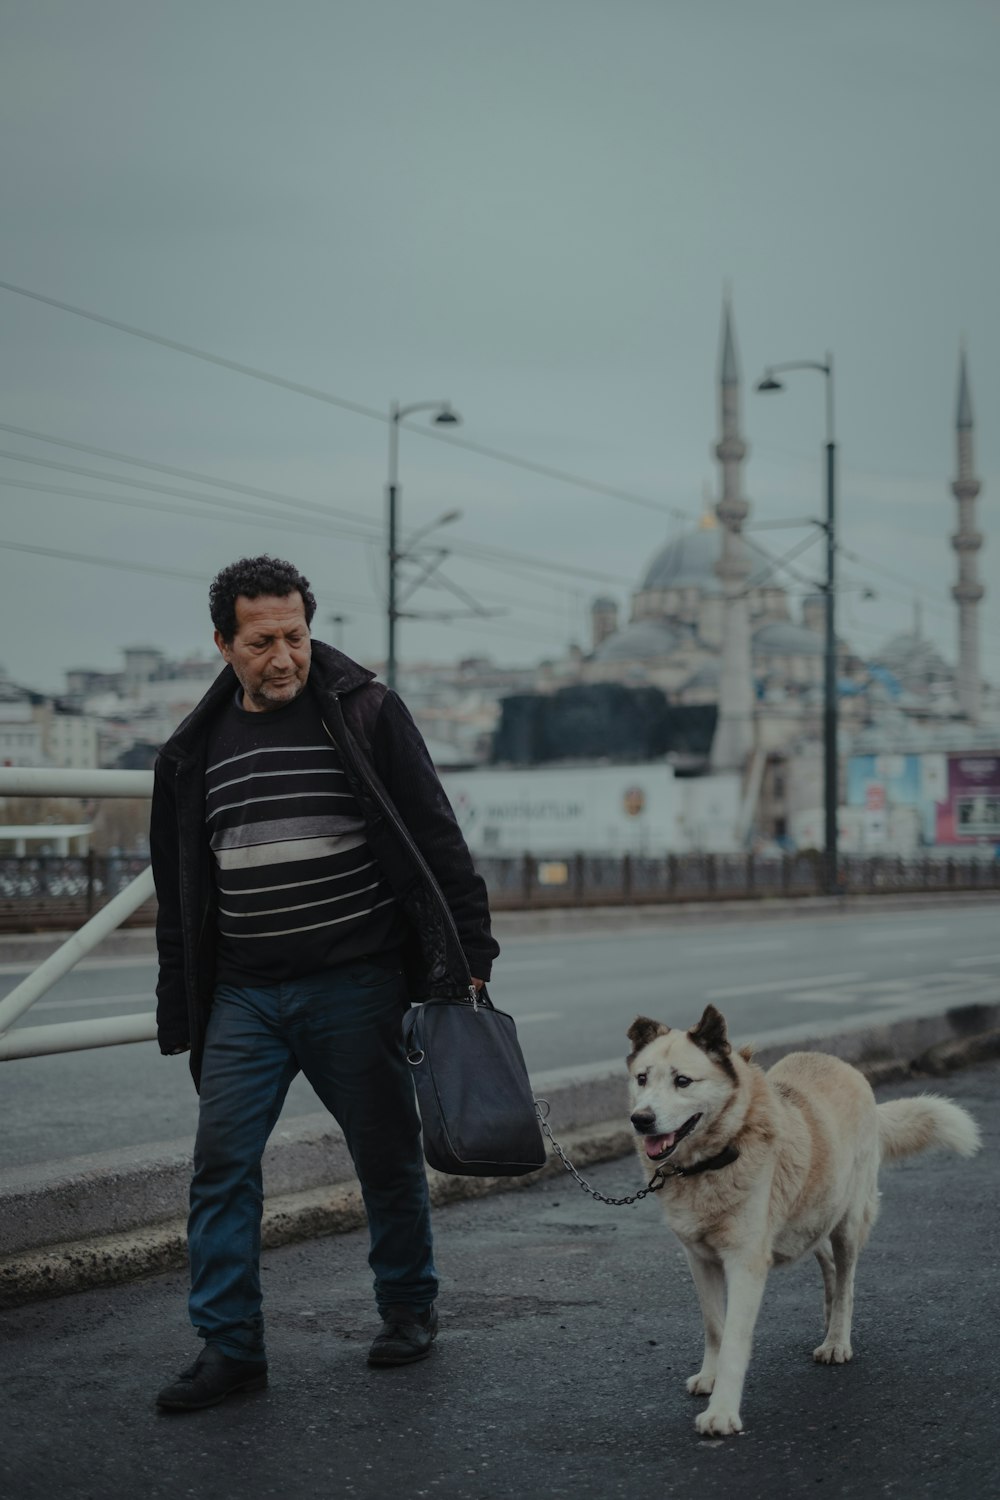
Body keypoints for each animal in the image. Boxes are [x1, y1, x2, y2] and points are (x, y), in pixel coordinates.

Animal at [629, 1002, 983, 1434]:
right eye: (642, 1078)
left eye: (683, 1081)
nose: (641, 1119)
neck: (715, 1157)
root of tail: (841, 1065)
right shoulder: (699, 1259)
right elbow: (714, 1326)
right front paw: (710, 1379)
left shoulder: (746, 1263)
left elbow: (733, 1341)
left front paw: (722, 1411)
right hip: (809, 1219)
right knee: (827, 1263)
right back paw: (829, 1319)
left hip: (846, 1224)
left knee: (846, 1281)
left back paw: (837, 1341)